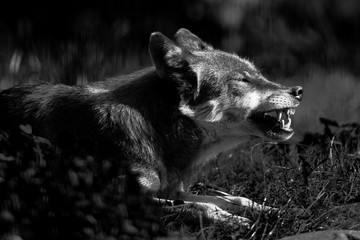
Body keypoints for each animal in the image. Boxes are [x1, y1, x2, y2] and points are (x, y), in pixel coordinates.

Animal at [0, 28, 302, 223]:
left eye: (259, 75)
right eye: (242, 80)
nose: (297, 90)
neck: (155, 129)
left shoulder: (170, 190)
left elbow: (231, 199)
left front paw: (272, 211)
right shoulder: (111, 202)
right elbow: (202, 208)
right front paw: (236, 222)